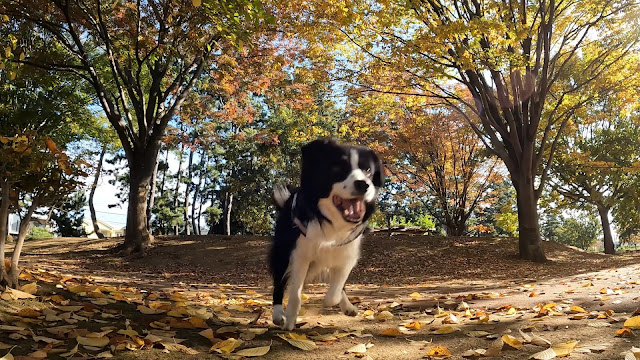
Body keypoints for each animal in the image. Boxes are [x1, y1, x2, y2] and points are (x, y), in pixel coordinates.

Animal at [270, 139, 384, 330]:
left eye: (368, 170)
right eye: (338, 168)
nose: (363, 184)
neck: (331, 223)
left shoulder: (347, 253)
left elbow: (336, 289)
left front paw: (333, 301)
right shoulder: (300, 254)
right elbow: (295, 293)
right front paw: (290, 320)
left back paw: (347, 306)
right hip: (282, 253)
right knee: (279, 282)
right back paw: (279, 315)